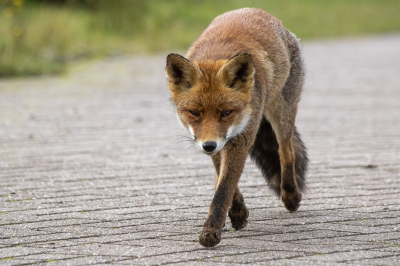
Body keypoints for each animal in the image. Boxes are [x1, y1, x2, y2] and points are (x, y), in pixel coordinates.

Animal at [164, 7, 308, 247]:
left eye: (226, 113)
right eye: (195, 113)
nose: (209, 146)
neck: (215, 56)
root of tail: (256, 10)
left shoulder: (241, 139)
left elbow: (224, 189)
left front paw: (211, 230)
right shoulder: (220, 143)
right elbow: (225, 183)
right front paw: (236, 213)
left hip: (281, 111)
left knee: (286, 150)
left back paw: (290, 195)